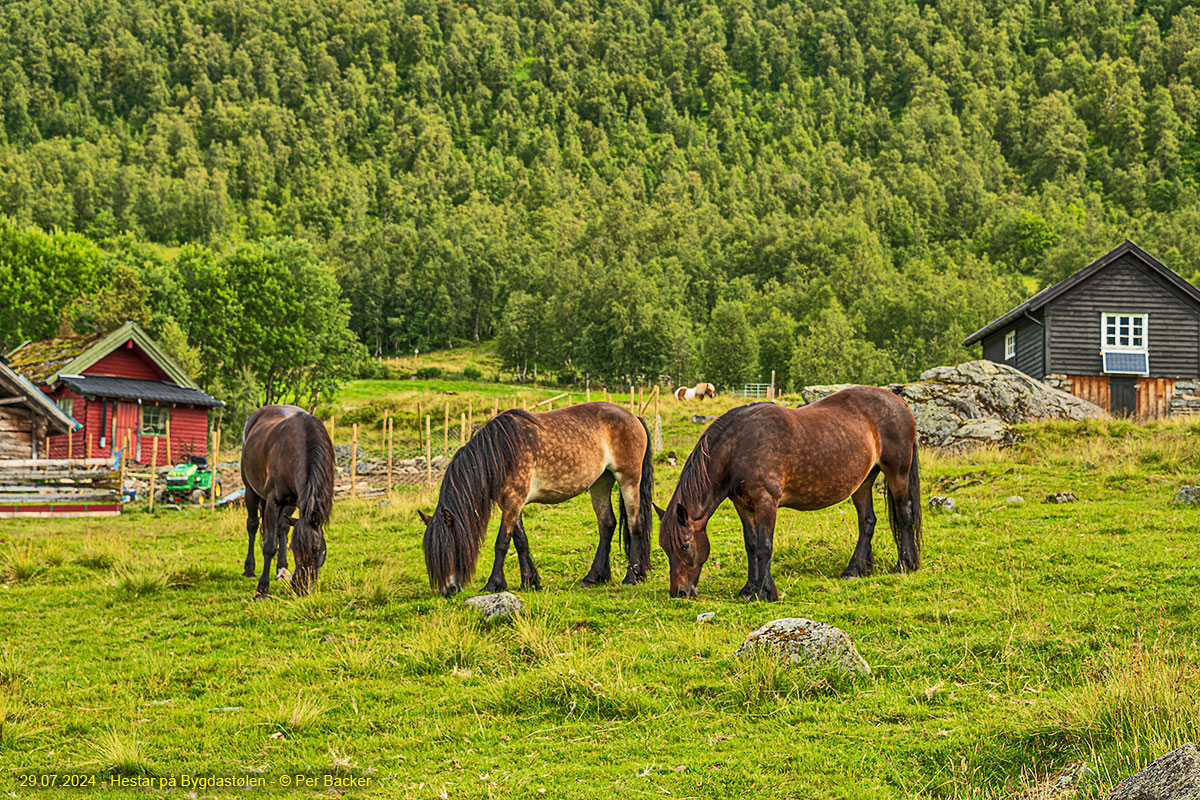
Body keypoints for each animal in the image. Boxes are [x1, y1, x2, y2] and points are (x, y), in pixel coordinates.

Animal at [240, 402, 333, 597]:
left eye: (317, 549)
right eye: (295, 549)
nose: (302, 588)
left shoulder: (295, 501)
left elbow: (283, 530)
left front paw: (282, 569)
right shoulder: (273, 502)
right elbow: (269, 546)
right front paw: (262, 589)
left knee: (282, 528)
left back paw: (281, 569)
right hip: (250, 491)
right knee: (252, 525)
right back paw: (250, 569)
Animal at [422, 402, 657, 597]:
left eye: (448, 549)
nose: (448, 590)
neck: (500, 453)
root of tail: (634, 417)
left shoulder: (513, 500)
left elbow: (502, 543)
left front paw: (493, 584)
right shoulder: (510, 503)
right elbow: (520, 541)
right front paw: (529, 582)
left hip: (628, 480)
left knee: (635, 524)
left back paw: (631, 577)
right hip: (600, 482)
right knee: (607, 525)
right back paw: (593, 578)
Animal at [657, 386, 916, 599]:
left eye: (684, 546)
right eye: (664, 547)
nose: (679, 593)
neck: (737, 447)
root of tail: (900, 403)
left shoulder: (766, 502)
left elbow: (764, 546)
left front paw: (766, 591)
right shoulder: (743, 506)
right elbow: (751, 545)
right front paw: (749, 590)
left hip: (897, 473)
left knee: (905, 516)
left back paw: (905, 565)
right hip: (863, 482)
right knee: (867, 522)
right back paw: (855, 569)